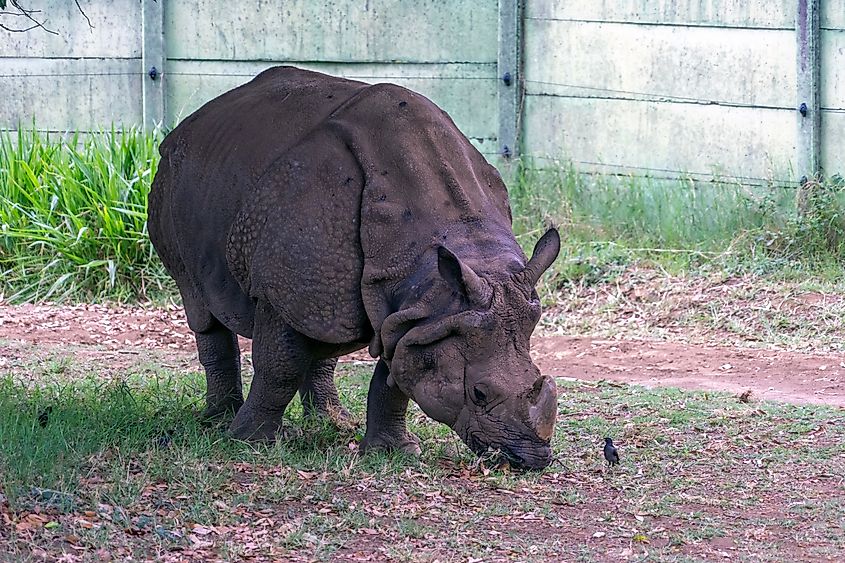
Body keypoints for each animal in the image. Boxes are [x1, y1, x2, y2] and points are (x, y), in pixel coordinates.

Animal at [147, 67, 560, 469]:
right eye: (478, 393)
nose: (532, 460)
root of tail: (191, 122)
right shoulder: (290, 292)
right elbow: (278, 367)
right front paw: (250, 443)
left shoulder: (421, 313)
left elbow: (395, 375)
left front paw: (393, 453)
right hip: (171, 181)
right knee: (203, 306)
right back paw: (219, 421)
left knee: (324, 328)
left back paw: (332, 422)